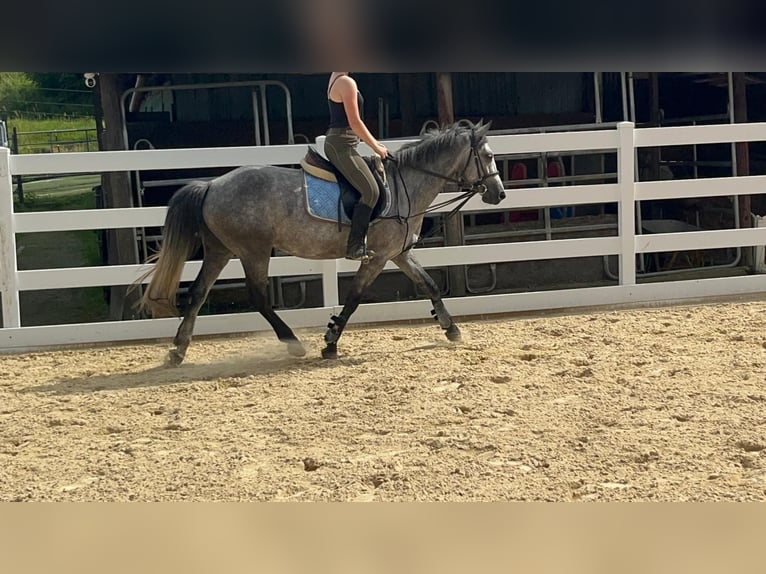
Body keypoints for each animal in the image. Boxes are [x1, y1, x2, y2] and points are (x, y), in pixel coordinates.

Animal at [137, 120, 506, 364]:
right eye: (488, 156)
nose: (499, 194)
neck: (406, 186)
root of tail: (212, 185)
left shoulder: (398, 253)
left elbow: (429, 284)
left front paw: (452, 329)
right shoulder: (377, 257)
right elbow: (354, 298)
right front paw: (330, 343)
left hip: (220, 250)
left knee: (198, 294)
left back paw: (178, 350)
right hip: (254, 251)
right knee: (258, 297)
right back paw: (292, 342)